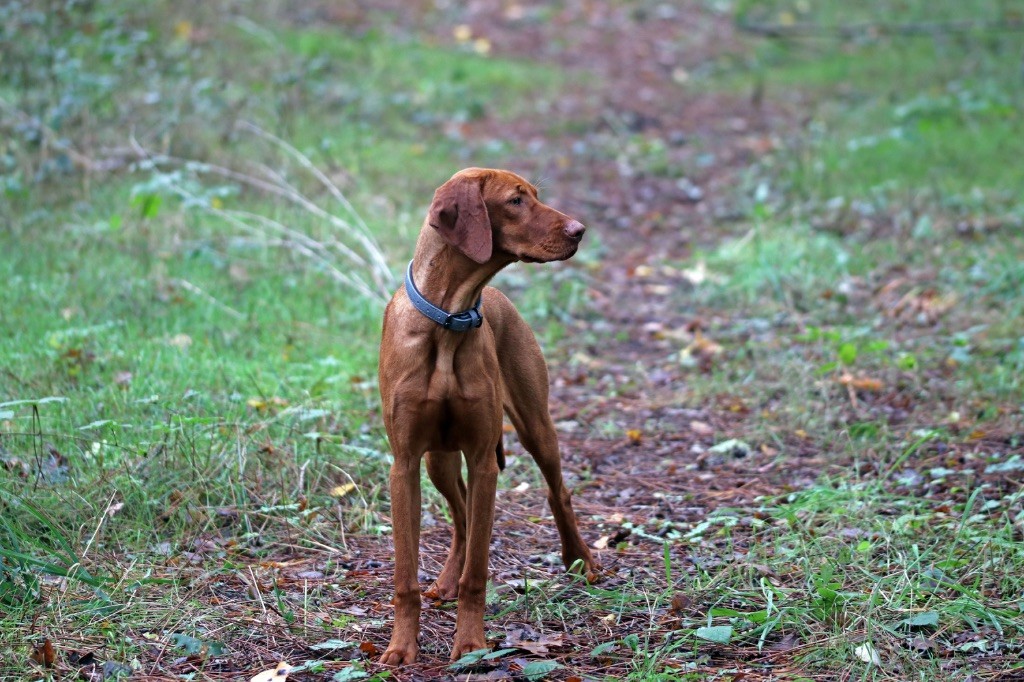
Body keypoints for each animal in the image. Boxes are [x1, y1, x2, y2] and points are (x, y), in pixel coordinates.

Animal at [380, 166, 598, 659]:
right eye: (515, 201)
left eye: (534, 195)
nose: (579, 230)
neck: (449, 316)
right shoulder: (404, 464)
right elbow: (405, 574)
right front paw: (401, 648)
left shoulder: (483, 461)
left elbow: (477, 572)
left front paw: (471, 643)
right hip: (438, 460)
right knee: (461, 516)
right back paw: (444, 582)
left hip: (536, 427)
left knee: (557, 492)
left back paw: (580, 559)